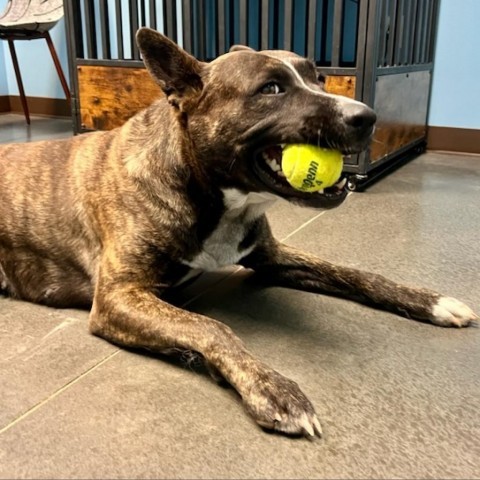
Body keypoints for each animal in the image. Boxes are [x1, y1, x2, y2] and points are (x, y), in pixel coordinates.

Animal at [0, 28, 476, 436]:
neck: (209, 192)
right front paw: (273, 389)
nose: (368, 116)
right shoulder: (119, 296)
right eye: (271, 89)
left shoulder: (270, 255)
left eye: (319, 77)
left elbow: (356, 273)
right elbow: (213, 328)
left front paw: (430, 301)